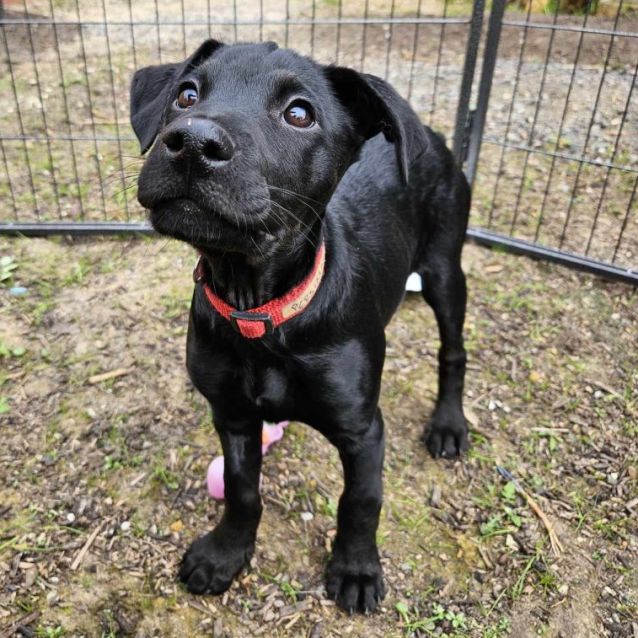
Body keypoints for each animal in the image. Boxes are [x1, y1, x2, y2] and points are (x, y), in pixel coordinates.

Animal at [130, 38, 472, 616]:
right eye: (187, 94)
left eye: (299, 114)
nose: (192, 142)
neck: (261, 314)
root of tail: (435, 134)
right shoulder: (232, 415)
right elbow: (243, 489)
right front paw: (226, 553)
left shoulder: (363, 430)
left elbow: (361, 499)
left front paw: (355, 569)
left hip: (446, 270)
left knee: (454, 350)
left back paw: (448, 423)